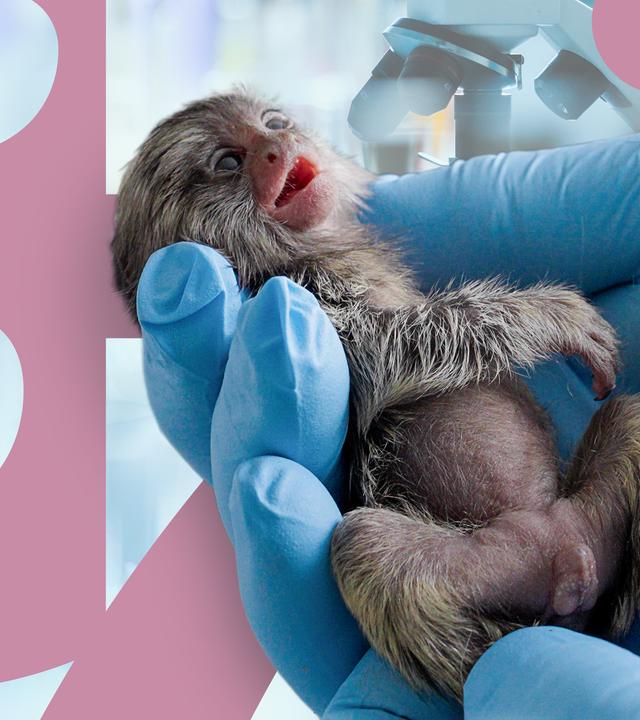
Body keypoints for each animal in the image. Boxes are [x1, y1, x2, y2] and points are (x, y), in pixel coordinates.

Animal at [111, 90, 640, 702]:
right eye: (228, 162)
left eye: (273, 123)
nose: (278, 146)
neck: (299, 250)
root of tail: (565, 550)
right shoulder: (296, 297)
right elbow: (389, 355)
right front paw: (548, 316)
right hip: (498, 564)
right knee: (363, 546)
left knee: (629, 417)